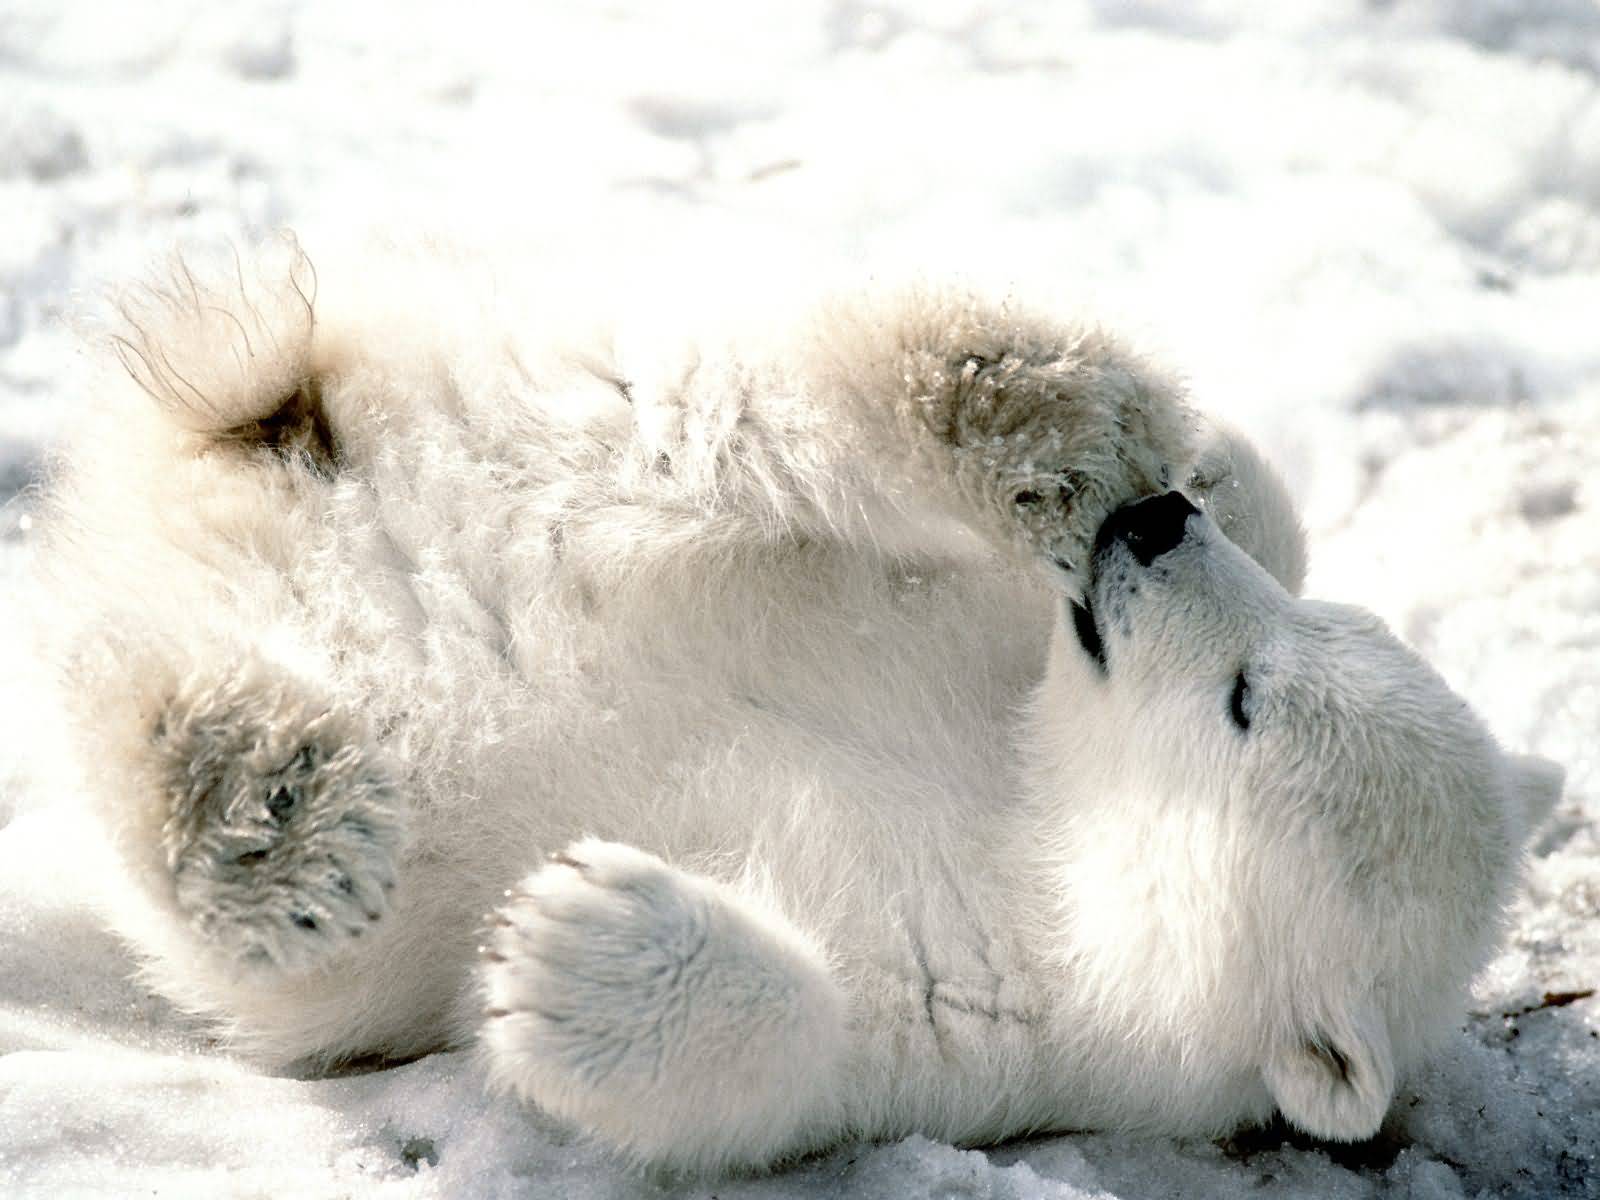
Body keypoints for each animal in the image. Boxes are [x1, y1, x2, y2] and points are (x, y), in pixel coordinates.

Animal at [28, 240, 1561, 1177]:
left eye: (1248, 702)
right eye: (1324, 632)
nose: (1151, 530)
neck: (1033, 805)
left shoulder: (1005, 1022)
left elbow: (791, 1058)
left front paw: (570, 944)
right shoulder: (986, 636)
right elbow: (1256, 511)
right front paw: (1188, 467)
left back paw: (262, 812)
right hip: (544, 430)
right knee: (729, 420)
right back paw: (1027, 404)